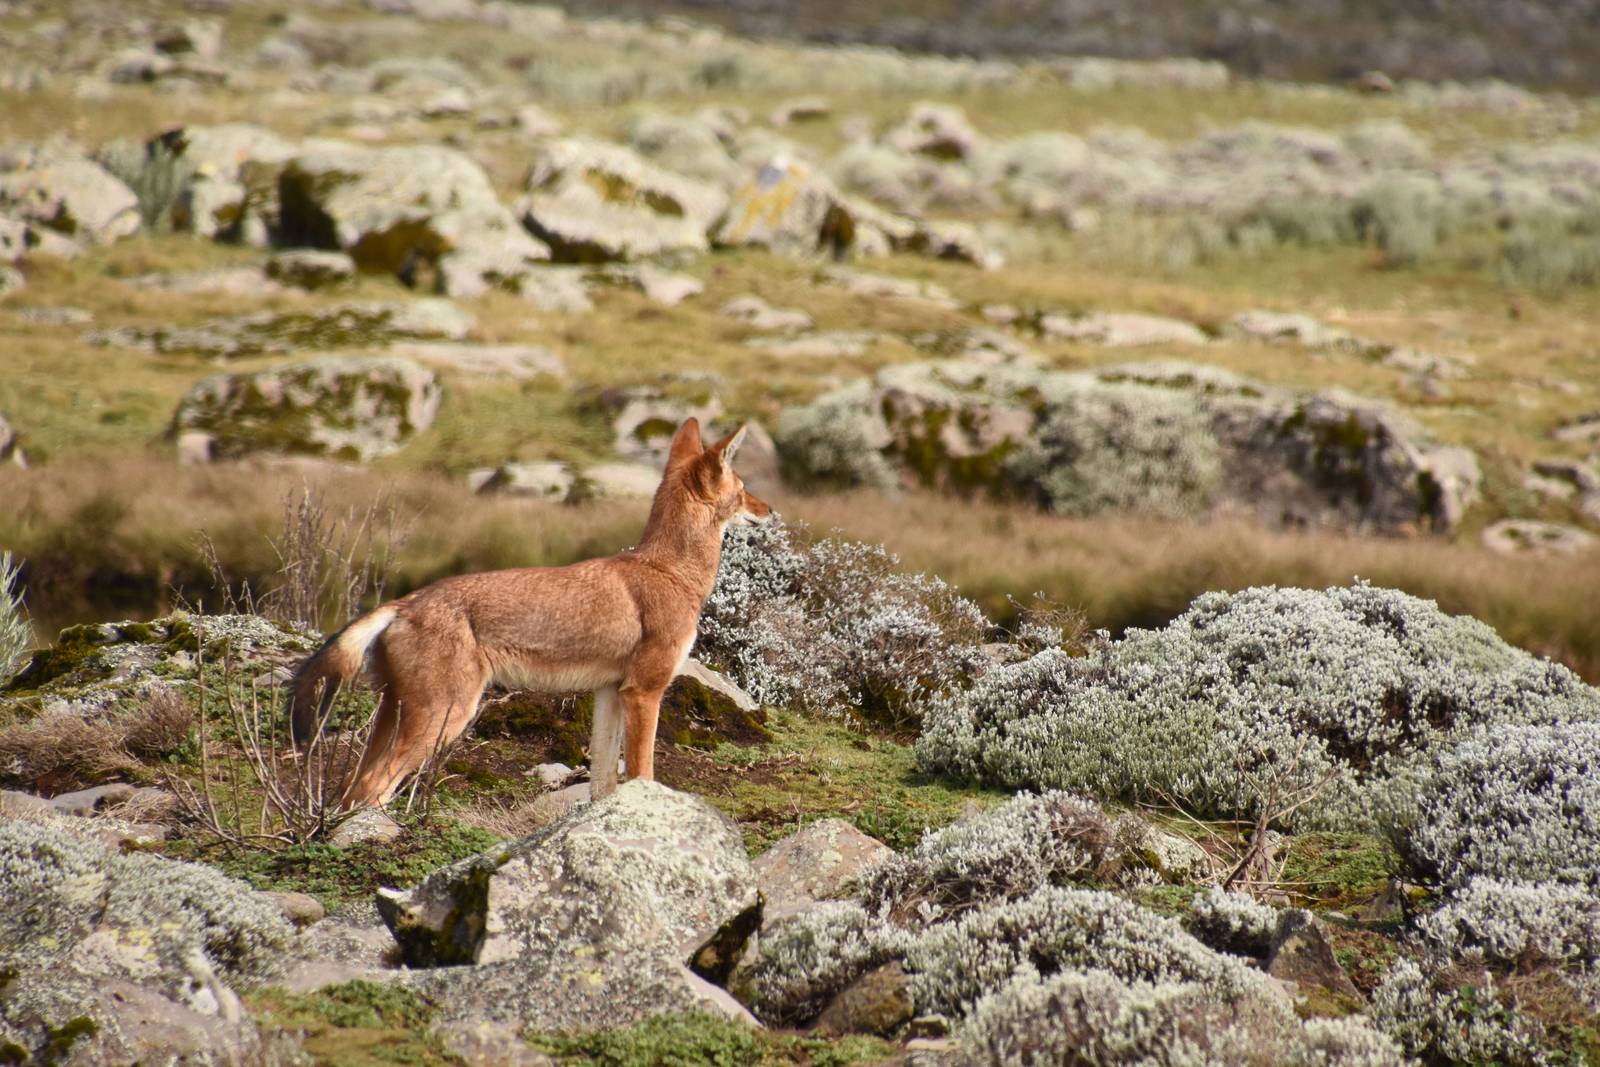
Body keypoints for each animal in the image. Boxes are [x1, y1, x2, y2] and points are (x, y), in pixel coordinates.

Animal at [288, 418, 771, 808]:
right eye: (743, 488)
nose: (769, 509)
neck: (669, 571)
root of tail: (405, 602)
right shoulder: (643, 692)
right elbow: (643, 774)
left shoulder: (610, 693)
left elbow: (602, 787)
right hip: (444, 718)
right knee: (371, 789)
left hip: (399, 717)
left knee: (350, 789)